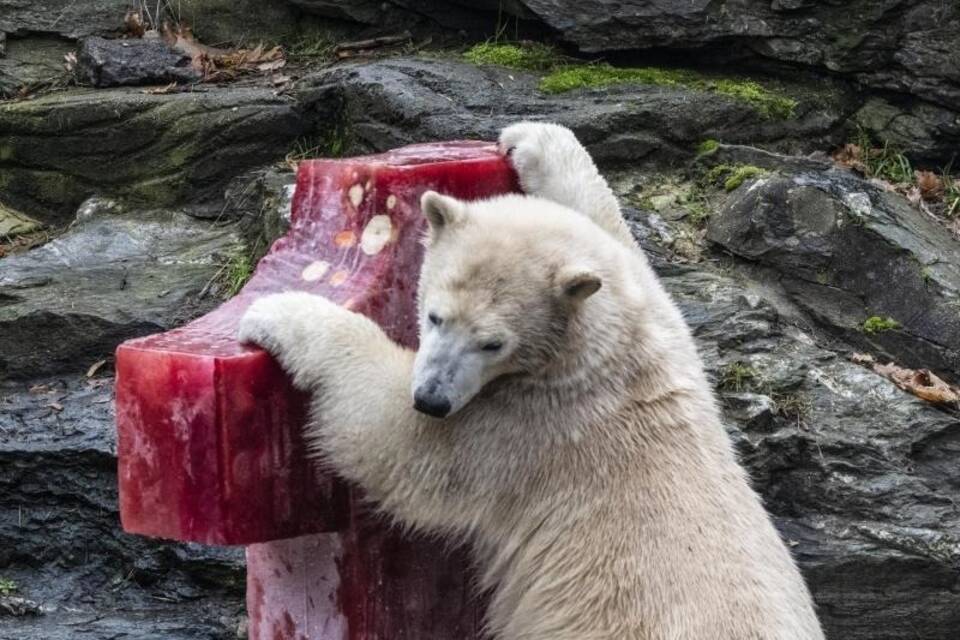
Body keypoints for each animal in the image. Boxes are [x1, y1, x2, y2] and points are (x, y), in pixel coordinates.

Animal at [240, 122, 824, 636]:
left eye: (492, 343)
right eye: (434, 315)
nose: (431, 398)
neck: (605, 354)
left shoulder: (529, 428)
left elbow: (398, 440)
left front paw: (279, 315)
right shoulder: (663, 325)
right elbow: (610, 228)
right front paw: (532, 140)